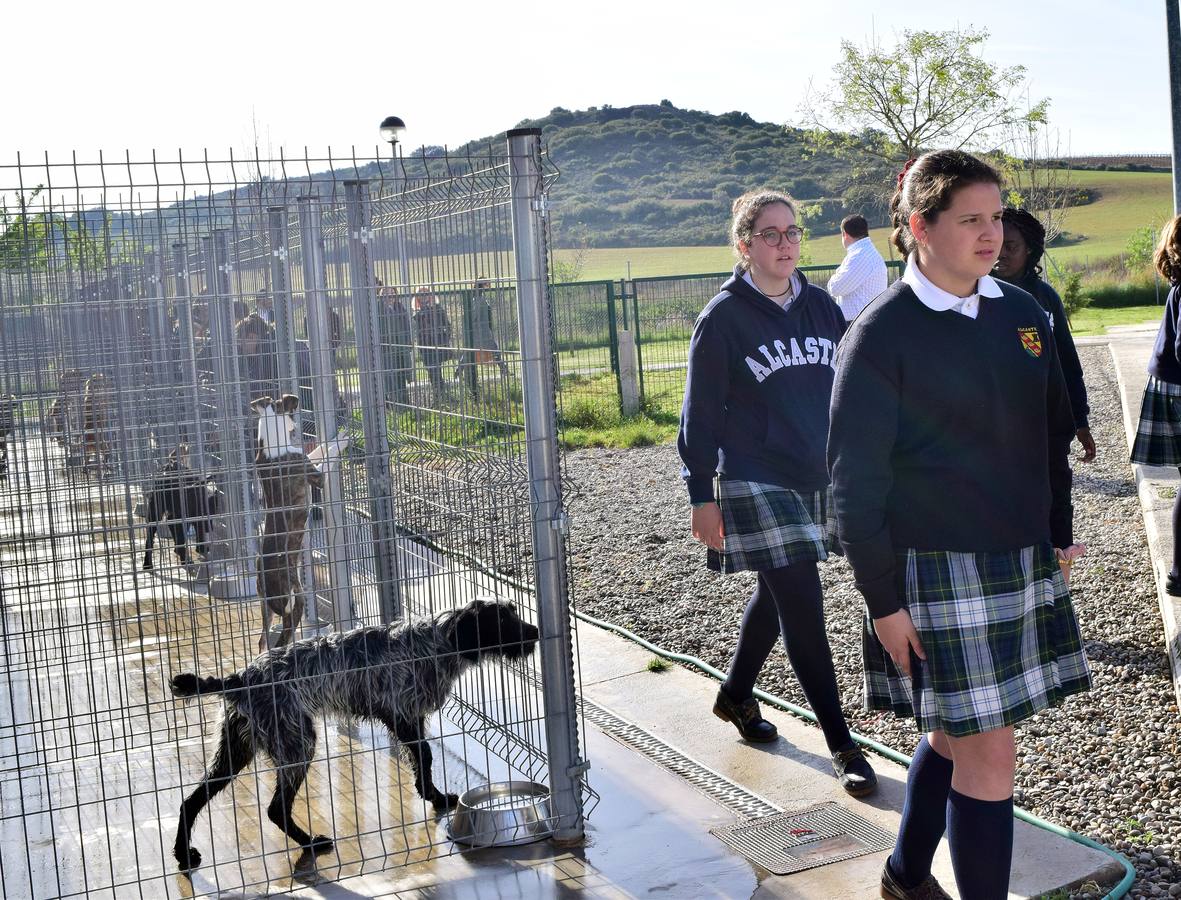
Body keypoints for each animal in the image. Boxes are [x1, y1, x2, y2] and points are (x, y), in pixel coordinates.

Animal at [170, 595, 540, 869]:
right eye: (502, 621)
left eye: (514, 614)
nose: (535, 631)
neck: (439, 641)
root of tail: (240, 679)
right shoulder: (400, 714)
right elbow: (424, 754)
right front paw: (433, 795)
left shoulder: (410, 717)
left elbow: (421, 758)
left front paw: (431, 794)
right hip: (297, 745)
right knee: (276, 808)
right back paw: (309, 843)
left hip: (234, 753)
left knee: (190, 802)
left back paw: (183, 854)